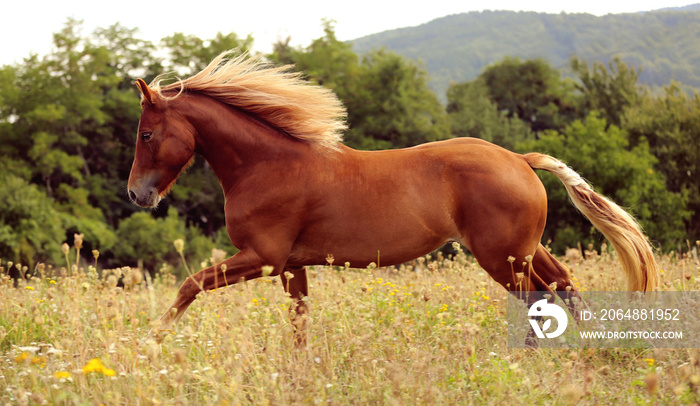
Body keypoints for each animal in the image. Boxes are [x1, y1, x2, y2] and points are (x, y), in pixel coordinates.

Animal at [129, 50, 660, 342]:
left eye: (147, 134)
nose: (137, 195)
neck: (268, 166)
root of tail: (520, 159)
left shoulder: (262, 257)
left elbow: (189, 285)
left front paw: (152, 342)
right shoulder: (291, 266)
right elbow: (299, 326)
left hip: (502, 257)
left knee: (541, 300)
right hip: (524, 249)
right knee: (565, 286)